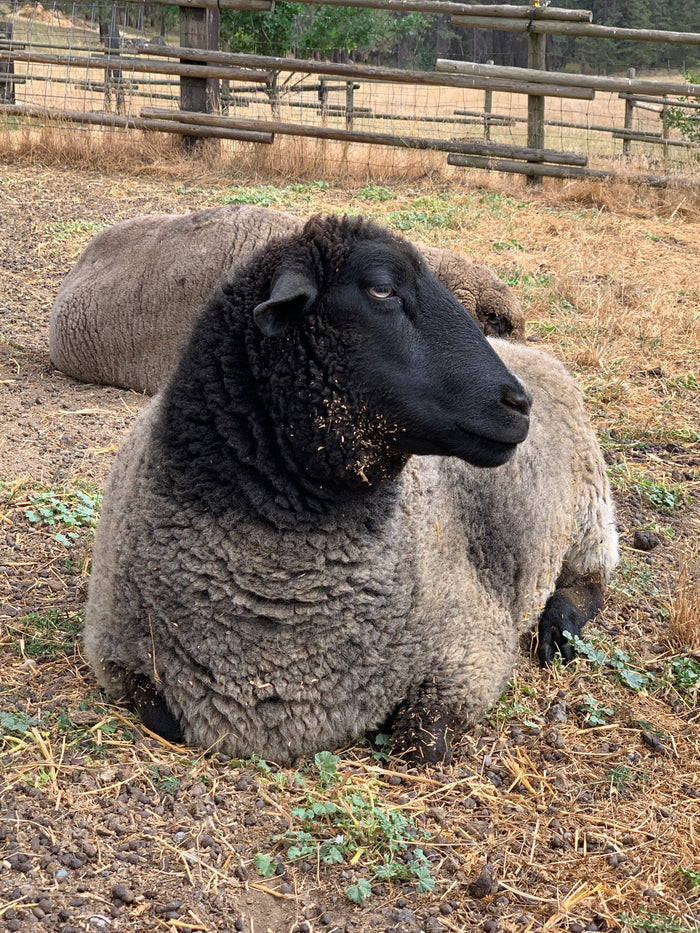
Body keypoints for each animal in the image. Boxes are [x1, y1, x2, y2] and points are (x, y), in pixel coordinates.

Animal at [83, 214, 617, 766]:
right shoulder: (112, 652)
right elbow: (164, 719)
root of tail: (536, 356)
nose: (519, 404)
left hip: (588, 514)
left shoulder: (471, 652)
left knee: (590, 580)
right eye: (382, 289)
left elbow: (418, 745)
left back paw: (559, 629)